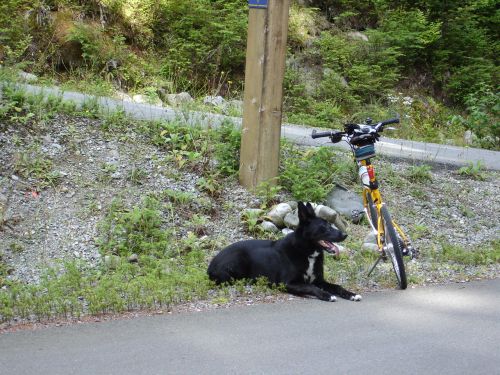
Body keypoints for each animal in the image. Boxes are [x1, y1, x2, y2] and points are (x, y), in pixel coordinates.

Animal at [209, 203, 362, 302]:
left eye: (331, 225)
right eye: (324, 227)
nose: (345, 235)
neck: (306, 252)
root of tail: (211, 265)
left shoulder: (320, 280)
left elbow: (337, 286)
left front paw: (351, 294)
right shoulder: (288, 283)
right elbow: (311, 287)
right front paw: (326, 295)